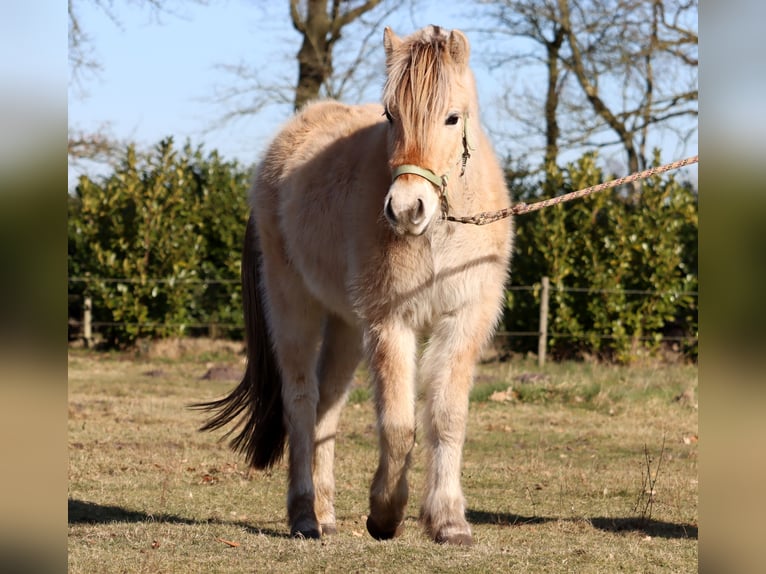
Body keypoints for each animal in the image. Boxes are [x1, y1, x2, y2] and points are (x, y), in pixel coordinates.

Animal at [195, 24, 516, 548]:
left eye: (452, 118)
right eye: (390, 115)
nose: (406, 209)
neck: (440, 231)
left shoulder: (462, 320)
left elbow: (446, 417)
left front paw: (449, 522)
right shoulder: (390, 323)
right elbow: (400, 425)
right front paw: (385, 515)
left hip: (345, 326)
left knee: (327, 406)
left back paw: (324, 514)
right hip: (295, 309)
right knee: (302, 403)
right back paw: (305, 515)